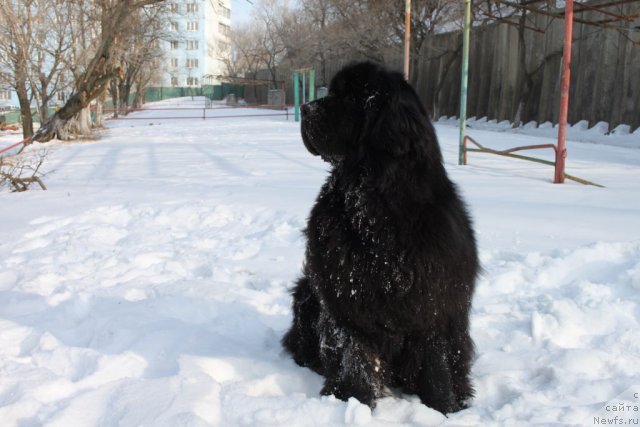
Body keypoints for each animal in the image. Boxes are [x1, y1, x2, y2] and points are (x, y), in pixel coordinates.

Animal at [282, 61, 478, 414]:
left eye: (351, 97)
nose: (304, 108)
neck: (376, 205)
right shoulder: (346, 299)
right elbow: (356, 357)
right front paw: (352, 401)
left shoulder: (433, 300)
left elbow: (436, 362)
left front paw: (444, 408)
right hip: (306, 293)